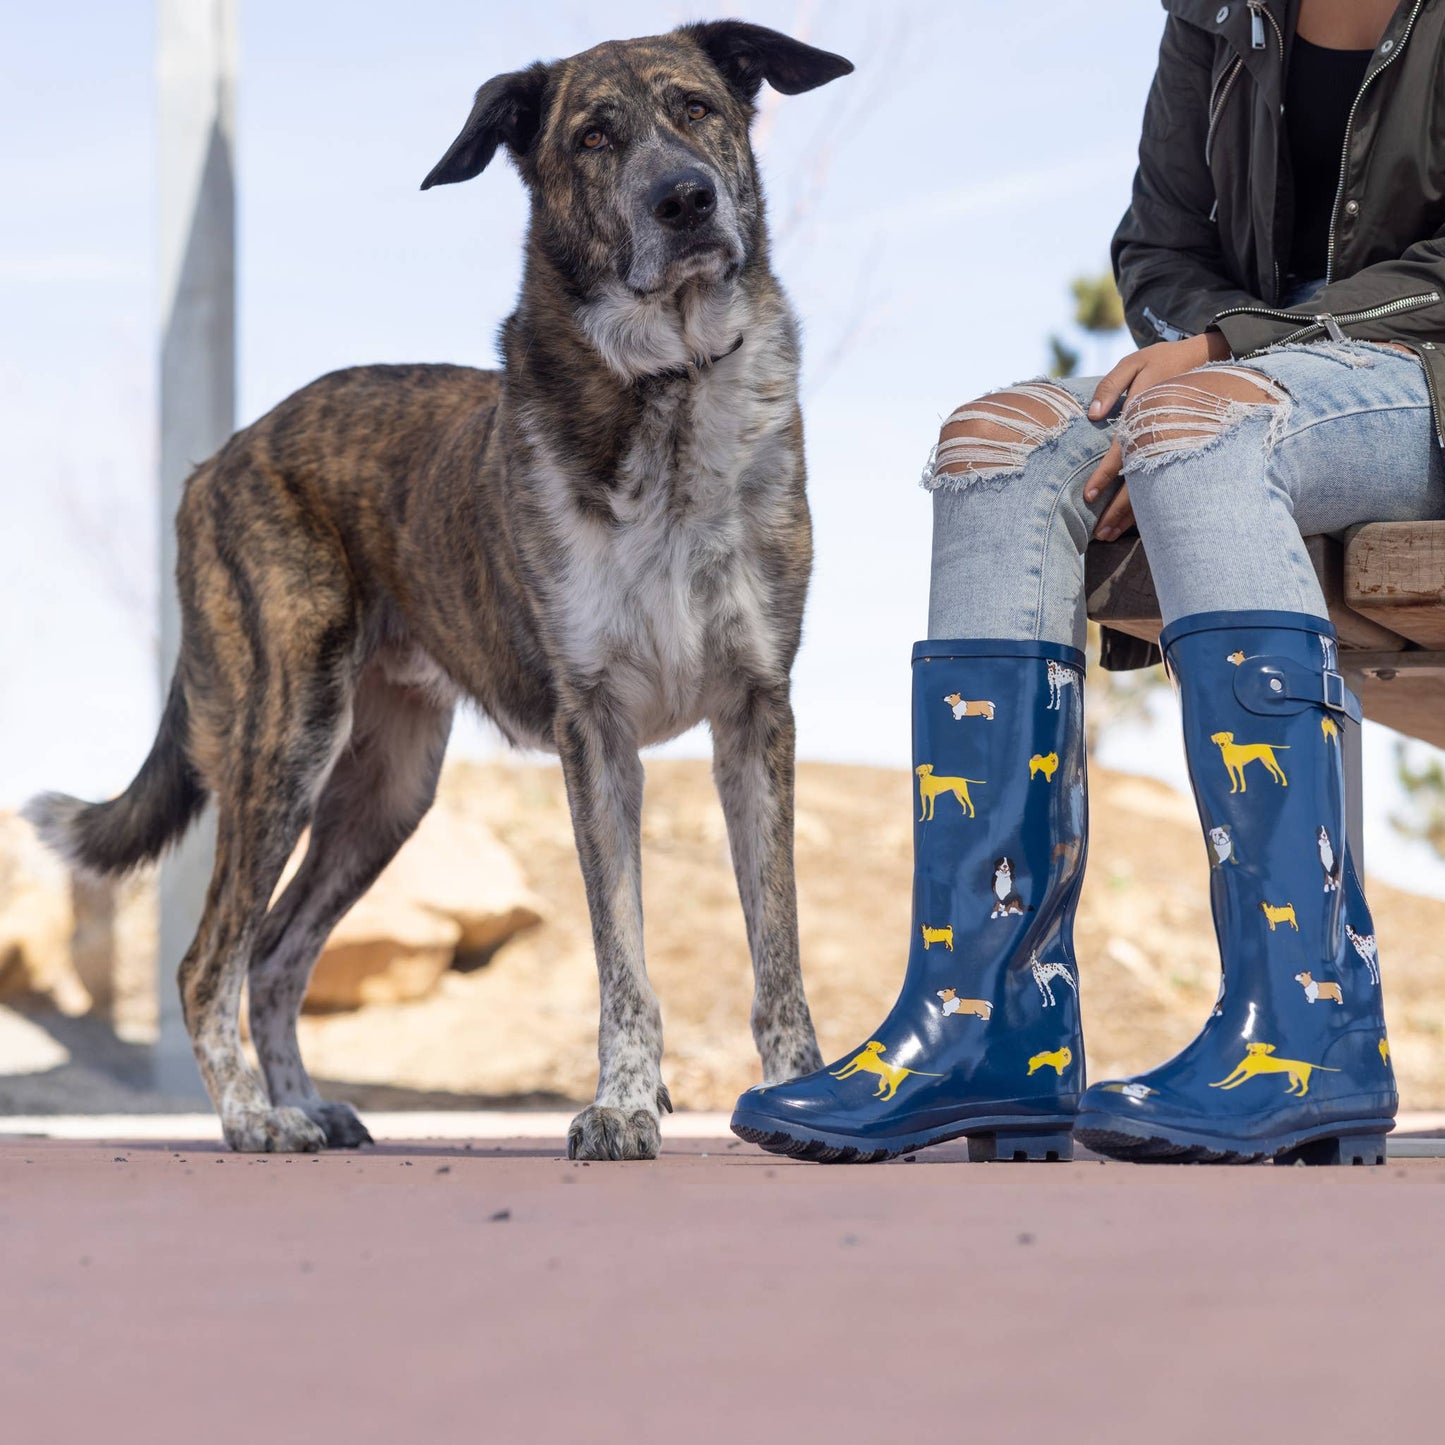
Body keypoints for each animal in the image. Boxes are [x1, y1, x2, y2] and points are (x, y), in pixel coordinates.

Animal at [28, 19, 849, 1161]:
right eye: (593, 137)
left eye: (696, 108)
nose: (683, 200)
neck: (669, 388)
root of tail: (216, 458)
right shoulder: (596, 731)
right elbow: (623, 962)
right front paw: (620, 1105)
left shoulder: (755, 713)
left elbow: (777, 947)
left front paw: (795, 1098)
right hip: (285, 743)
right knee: (210, 959)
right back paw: (253, 1118)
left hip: (385, 790)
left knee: (275, 952)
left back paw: (306, 1103)